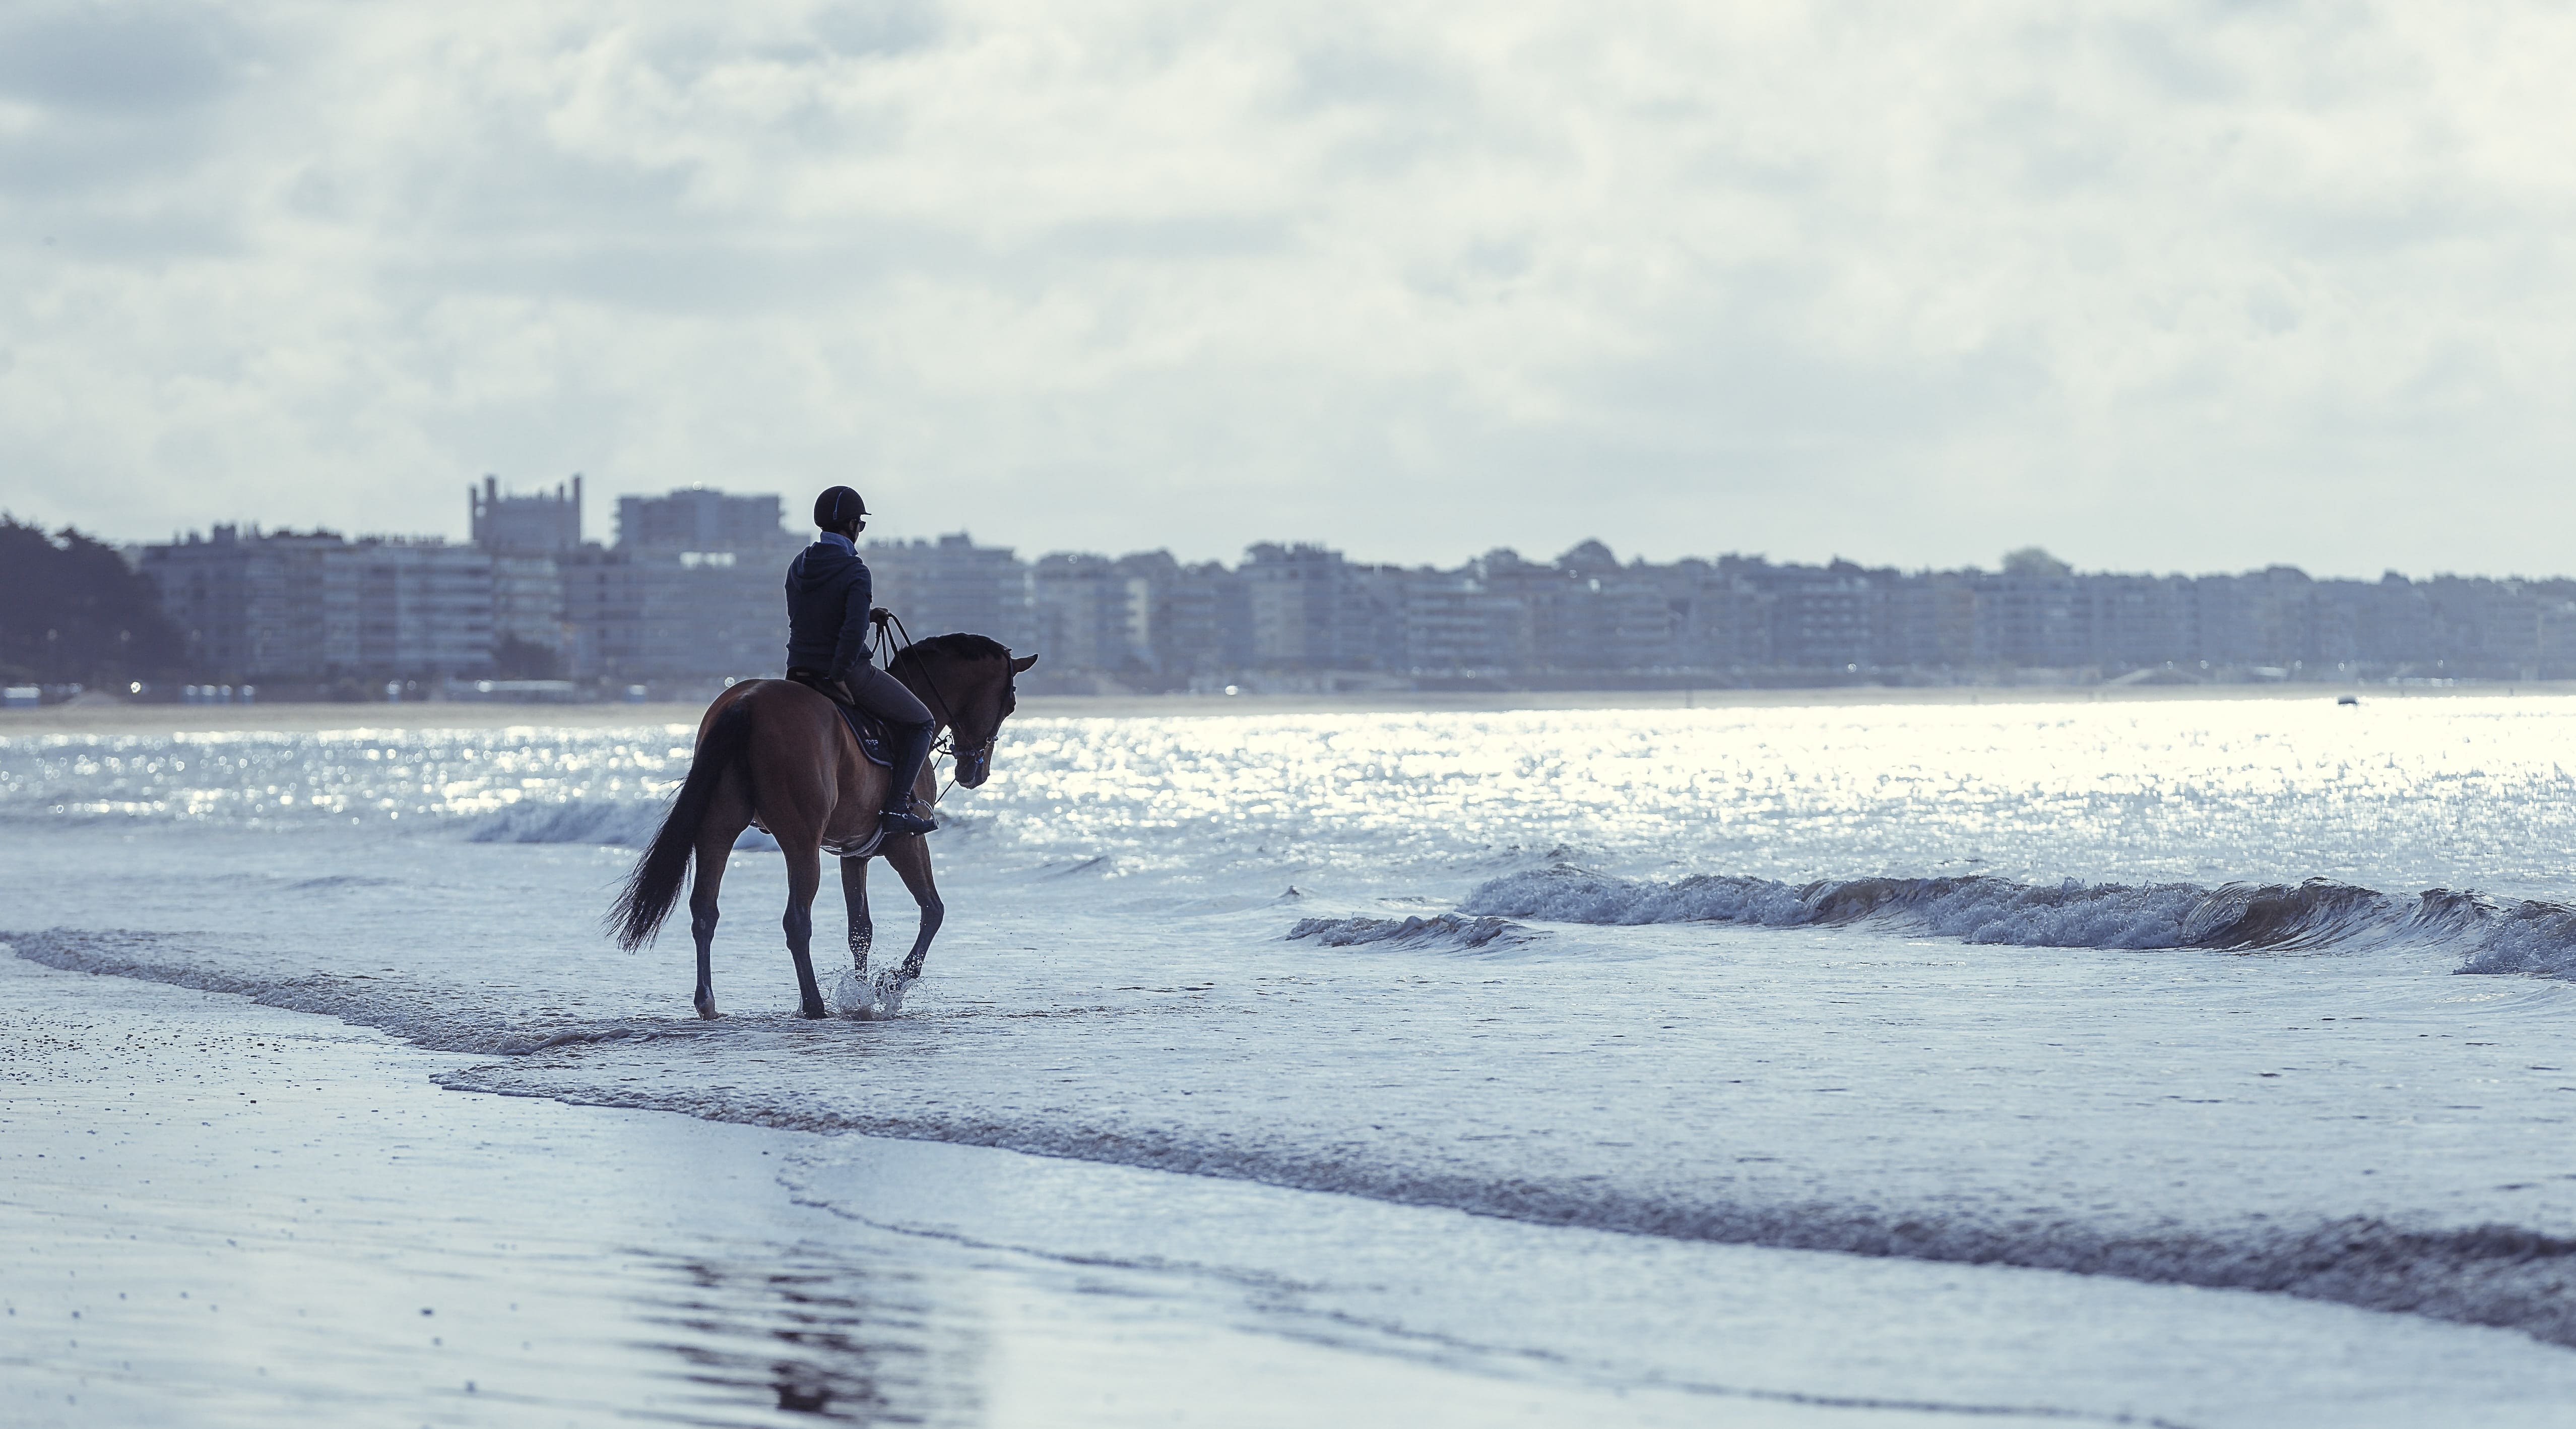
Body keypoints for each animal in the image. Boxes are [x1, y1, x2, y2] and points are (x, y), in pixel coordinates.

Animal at [603, 636, 1036, 1019]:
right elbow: (933, 911)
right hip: (802, 841)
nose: (977, 771)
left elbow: (860, 931)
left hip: (718, 828)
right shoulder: (906, 843)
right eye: (1011, 703)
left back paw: (707, 1002)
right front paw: (891, 984)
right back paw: (813, 1005)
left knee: (705, 909)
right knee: (797, 919)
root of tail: (746, 701)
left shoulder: (854, 853)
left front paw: (861, 992)